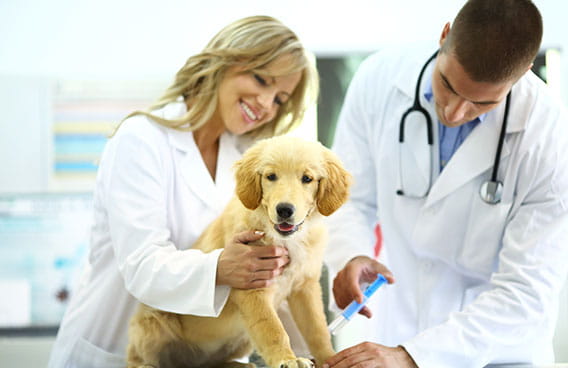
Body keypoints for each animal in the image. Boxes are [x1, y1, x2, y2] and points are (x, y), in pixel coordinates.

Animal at [127, 136, 352, 368]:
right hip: (152, 321)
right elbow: (272, 328)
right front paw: (287, 359)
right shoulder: (252, 287)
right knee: (136, 357)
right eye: (271, 176)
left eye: (307, 179)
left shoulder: (305, 287)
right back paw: (145, 364)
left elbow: (317, 329)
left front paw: (330, 357)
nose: (284, 210)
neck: (283, 239)